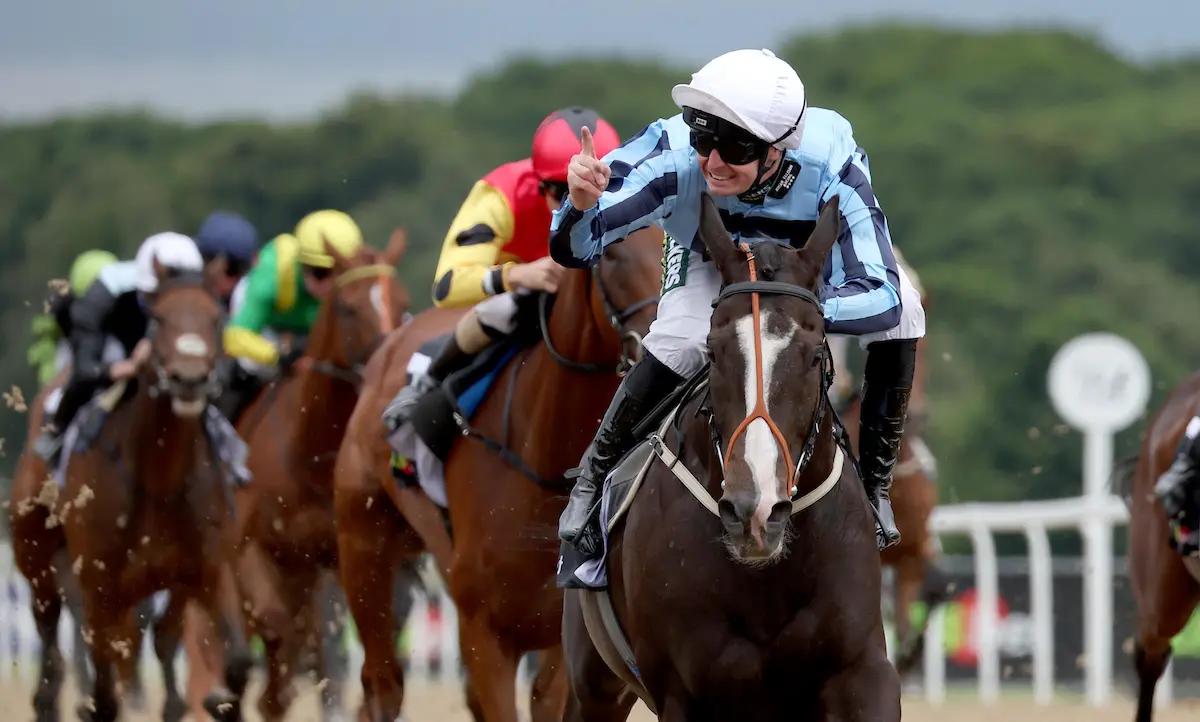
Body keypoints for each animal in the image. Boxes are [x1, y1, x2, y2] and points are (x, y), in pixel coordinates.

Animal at [227, 229, 412, 722]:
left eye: (402, 301)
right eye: (347, 307)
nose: (387, 363)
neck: (308, 454)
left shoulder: (338, 554)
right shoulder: (248, 550)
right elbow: (275, 627)